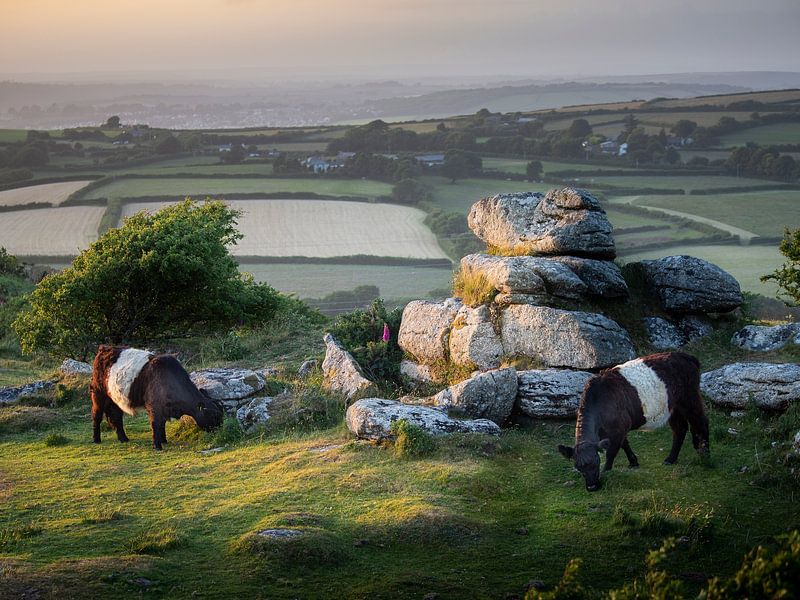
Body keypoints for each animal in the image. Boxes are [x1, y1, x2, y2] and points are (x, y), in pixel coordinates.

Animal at [91, 345, 223, 450]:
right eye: (214, 416)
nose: (220, 430)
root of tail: (105, 348)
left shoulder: (164, 409)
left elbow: (162, 424)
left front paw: (164, 440)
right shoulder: (154, 407)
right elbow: (156, 424)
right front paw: (157, 445)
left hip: (115, 400)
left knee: (116, 417)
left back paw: (123, 438)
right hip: (98, 395)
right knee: (97, 416)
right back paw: (96, 439)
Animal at [557, 351, 709, 491]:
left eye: (596, 462)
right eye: (578, 467)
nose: (592, 487)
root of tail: (685, 355)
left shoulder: (618, 429)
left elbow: (612, 452)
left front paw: (607, 472)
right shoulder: (619, 428)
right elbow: (625, 444)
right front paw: (633, 462)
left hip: (689, 398)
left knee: (701, 422)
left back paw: (705, 454)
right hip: (673, 407)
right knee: (680, 429)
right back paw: (671, 459)